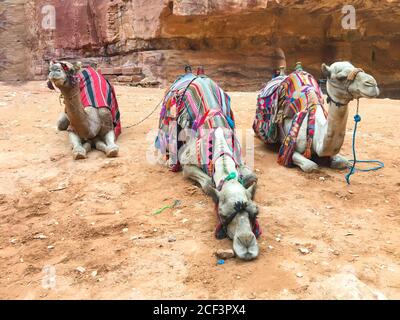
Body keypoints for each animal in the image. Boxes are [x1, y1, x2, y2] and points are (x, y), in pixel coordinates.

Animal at [155, 72, 260, 260]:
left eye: (256, 212)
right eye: (222, 215)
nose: (247, 245)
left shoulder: (239, 160)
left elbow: (251, 177)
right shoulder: (188, 163)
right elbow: (207, 183)